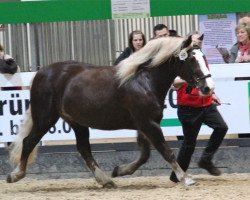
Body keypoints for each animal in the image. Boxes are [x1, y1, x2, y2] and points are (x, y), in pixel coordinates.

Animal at [6, 35, 214, 188]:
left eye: (204, 58)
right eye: (191, 59)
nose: (208, 88)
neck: (144, 82)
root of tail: (41, 73)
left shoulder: (144, 124)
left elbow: (144, 155)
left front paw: (119, 170)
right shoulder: (148, 123)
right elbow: (166, 151)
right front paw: (186, 178)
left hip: (77, 122)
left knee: (84, 149)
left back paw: (106, 180)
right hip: (45, 117)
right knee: (28, 142)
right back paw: (15, 175)